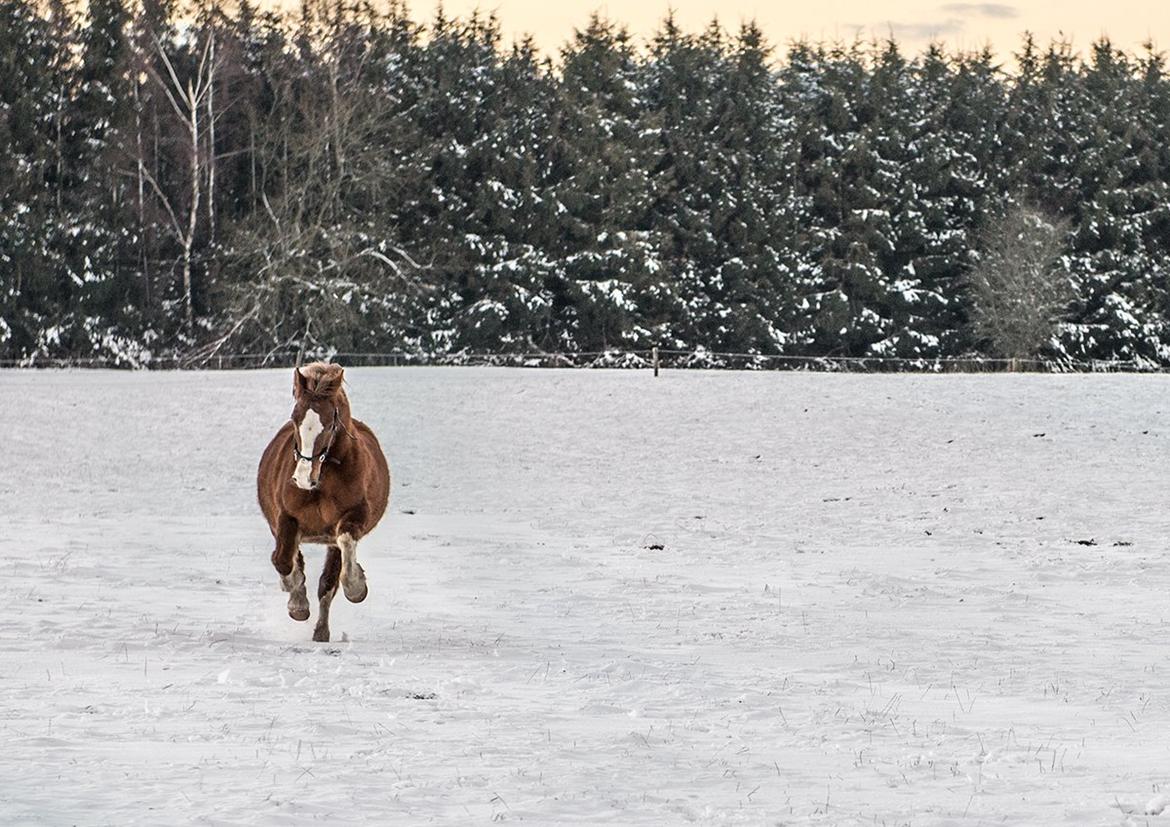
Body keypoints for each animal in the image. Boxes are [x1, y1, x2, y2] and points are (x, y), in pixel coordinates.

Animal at [257, 364, 393, 645]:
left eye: (330, 424)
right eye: (295, 417)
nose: (302, 478)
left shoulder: (354, 517)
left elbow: (344, 548)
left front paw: (357, 586)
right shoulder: (286, 519)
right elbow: (283, 561)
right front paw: (297, 603)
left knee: (327, 584)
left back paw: (321, 632)